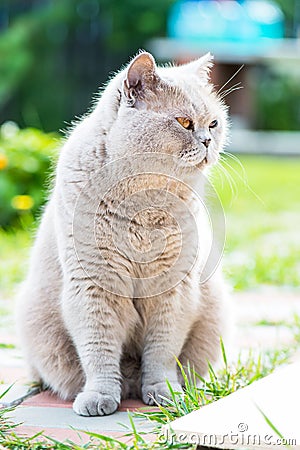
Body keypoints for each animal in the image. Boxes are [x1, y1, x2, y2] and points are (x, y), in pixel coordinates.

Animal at [16, 51, 230, 416]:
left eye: (214, 124)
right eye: (184, 123)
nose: (207, 140)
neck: (144, 203)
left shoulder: (173, 290)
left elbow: (162, 350)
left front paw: (163, 393)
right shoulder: (93, 284)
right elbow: (98, 348)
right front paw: (100, 396)